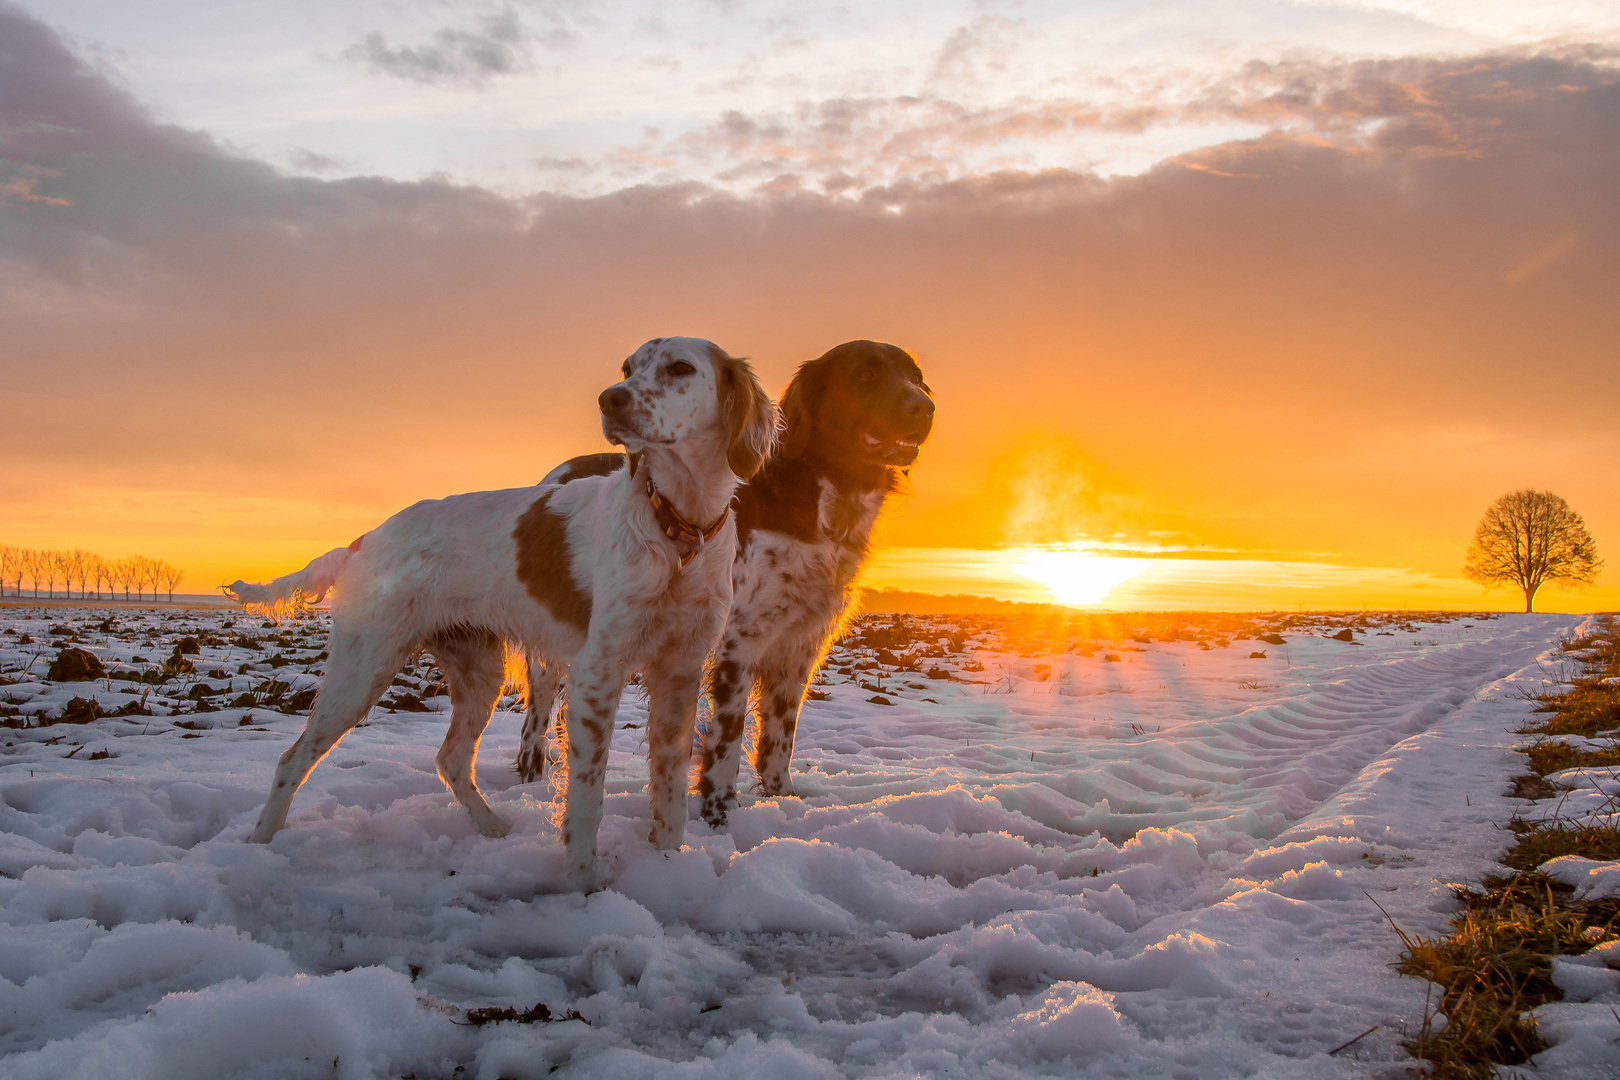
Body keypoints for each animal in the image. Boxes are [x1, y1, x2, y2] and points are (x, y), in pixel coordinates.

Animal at [228, 338, 777, 887]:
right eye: (626, 369)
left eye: (680, 367)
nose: (608, 399)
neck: (678, 529)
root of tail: (366, 537)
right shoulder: (597, 673)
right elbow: (587, 797)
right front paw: (584, 880)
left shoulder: (679, 674)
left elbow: (669, 790)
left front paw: (667, 867)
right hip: (362, 670)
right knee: (291, 758)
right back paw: (259, 844)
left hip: (478, 672)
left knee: (450, 758)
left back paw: (490, 826)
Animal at [511, 340, 933, 829]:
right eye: (864, 374)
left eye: (916, 378)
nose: (925, 408)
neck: (818, 498)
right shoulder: (737, 641)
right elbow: (727, 737)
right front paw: (718, 811)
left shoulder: (799, 646)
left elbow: (781, 735)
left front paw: (781, 797)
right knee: (536, 716)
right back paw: (531, 780)